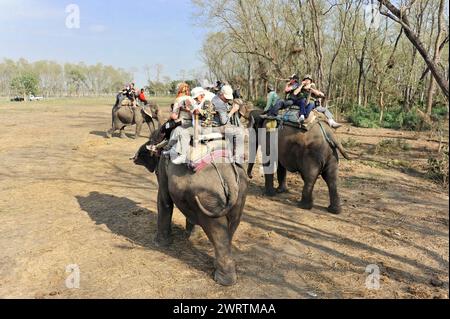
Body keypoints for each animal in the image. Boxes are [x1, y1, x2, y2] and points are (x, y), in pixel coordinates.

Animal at [130, 135, 250, 288]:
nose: (134, 157)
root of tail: (228, 177)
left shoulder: (163, 168)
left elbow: (164, 199)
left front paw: (160, 243)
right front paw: (190, 236)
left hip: (208, 197)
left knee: (217, 231)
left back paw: (223, 280)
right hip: (240, 194)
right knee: (231, 227)